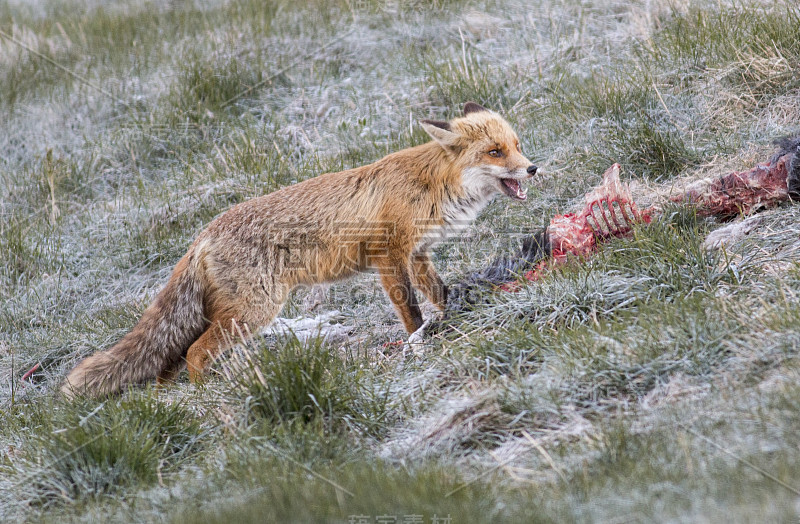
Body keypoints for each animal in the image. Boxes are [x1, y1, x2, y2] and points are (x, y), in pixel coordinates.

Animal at [62, 103, 536, 398]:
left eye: (516, 144)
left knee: (168, 363)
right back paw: (212, 395)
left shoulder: (417, 254)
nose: (533, 168)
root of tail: (202, 235)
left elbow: (440, 293)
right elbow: (411, 312)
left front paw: (453, 318)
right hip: (253, 312)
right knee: (195, 353)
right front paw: (419, 342)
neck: (432, 185)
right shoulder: (388, 256)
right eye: (495, 152)